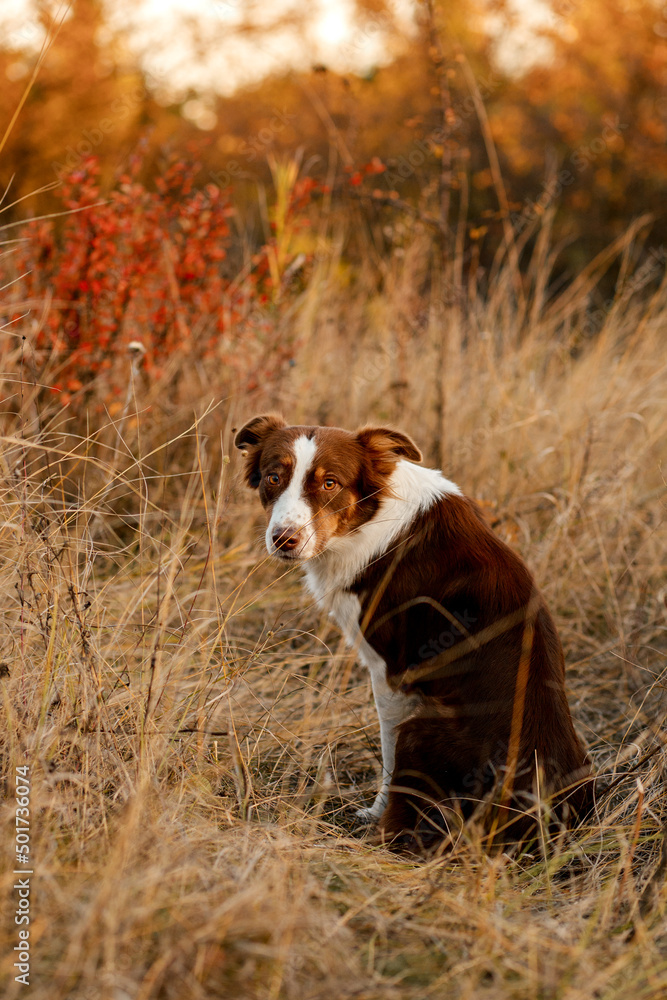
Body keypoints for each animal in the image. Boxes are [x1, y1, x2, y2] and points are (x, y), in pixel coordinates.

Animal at [236, 412, 596, 844]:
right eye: (274, 477)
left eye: (329, 483)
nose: (284, 540)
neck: (372, 518)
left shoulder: (391, 673)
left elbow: (388, 753)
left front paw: (374, 812)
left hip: (422, 730)